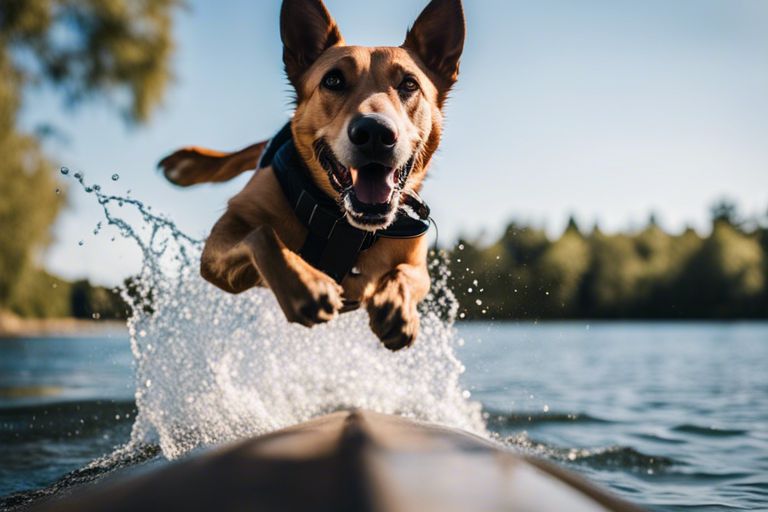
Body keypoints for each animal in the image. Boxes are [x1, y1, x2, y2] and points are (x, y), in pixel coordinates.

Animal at [159, 0, 464, 352]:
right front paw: (306, 285)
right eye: (333, 81)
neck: (342, 223)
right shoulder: (217, 250)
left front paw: (398, 309)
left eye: (409, 84)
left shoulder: (416, 260)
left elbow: (407, 276)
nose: (375, 133)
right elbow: (263, 233)